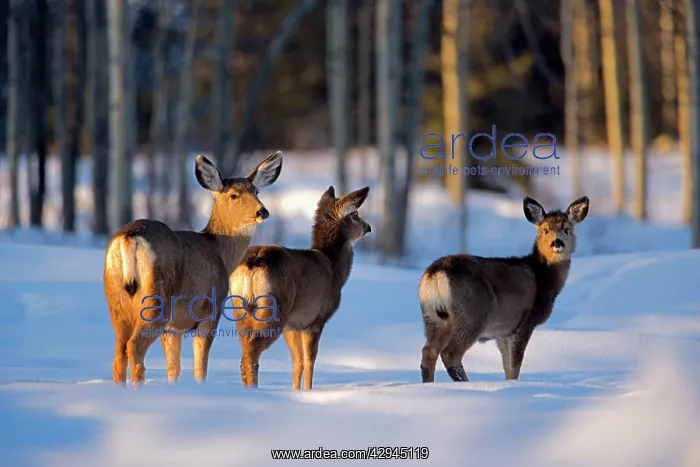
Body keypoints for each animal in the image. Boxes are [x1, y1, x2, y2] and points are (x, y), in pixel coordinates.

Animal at [103, 151, 283, 385]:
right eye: (234, 195)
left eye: (257, 191)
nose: (263, 212)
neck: (219, 251)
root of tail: (129, 238)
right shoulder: (210, 310)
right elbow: (200, 367)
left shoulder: (174, 326)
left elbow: (173, 368)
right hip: (155, 297)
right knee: (134, 346)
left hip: (116, 298)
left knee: (119, 353)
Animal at [227, 185, 371, 390]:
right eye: (355, 215)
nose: (368, 227)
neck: (335, 269)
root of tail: (252, 262)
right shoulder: (316, 319)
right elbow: (310, 360)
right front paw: (308, 390)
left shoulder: (293, 324)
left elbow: (297, 361)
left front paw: (295, 390)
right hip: (274, 307)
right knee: (251, 351)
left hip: (240, 308)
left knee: (245, 349)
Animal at [418, 196, 589, 383]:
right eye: (545, 230)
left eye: (566, 229)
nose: (557, 242)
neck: (543, 278)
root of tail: (435, 273)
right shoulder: (524, 322)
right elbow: (514, 366)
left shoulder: (502, 332)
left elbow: (507, 367)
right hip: (472, 314)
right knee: (450, 353)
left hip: (432, 317)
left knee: (428, 352)